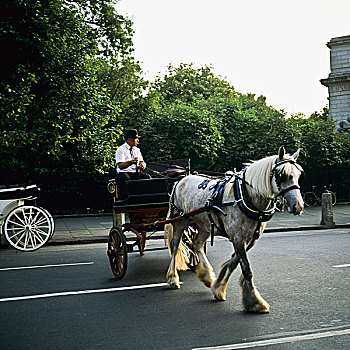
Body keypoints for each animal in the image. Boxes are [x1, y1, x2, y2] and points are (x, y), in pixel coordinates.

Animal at [164, 146, 304, 314]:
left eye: (298, 175)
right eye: (282, 175)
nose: (298, 206)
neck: (245, 196)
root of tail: (181, 180)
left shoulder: (249, 239)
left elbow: (233, 263)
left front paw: (218, 287)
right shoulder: (238, 238)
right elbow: (246, 269)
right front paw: (255, 302)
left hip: (205, 224)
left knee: (197, 245)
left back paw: (207, 276)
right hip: (180, 221)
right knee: (175, 245)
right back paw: (173, 278)